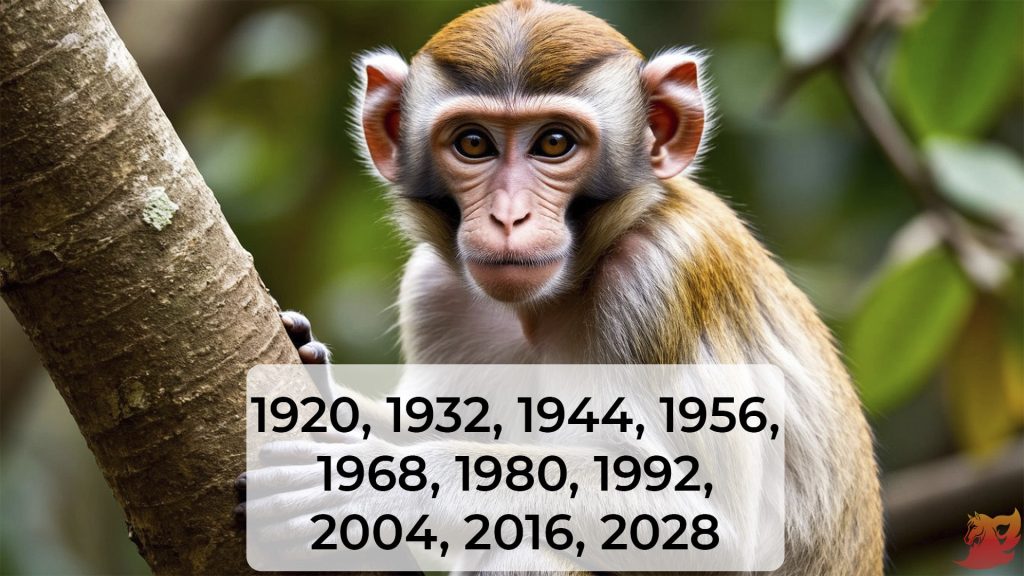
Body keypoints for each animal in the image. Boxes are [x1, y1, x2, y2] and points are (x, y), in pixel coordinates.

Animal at [236, 1, 883, 574]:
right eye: (473, 143)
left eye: (554, 143)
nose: (509, 217)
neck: (551, 302)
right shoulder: (435, 294)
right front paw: (311, 361)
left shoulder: (657, 277)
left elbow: (716, 535)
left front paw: (395, 483)